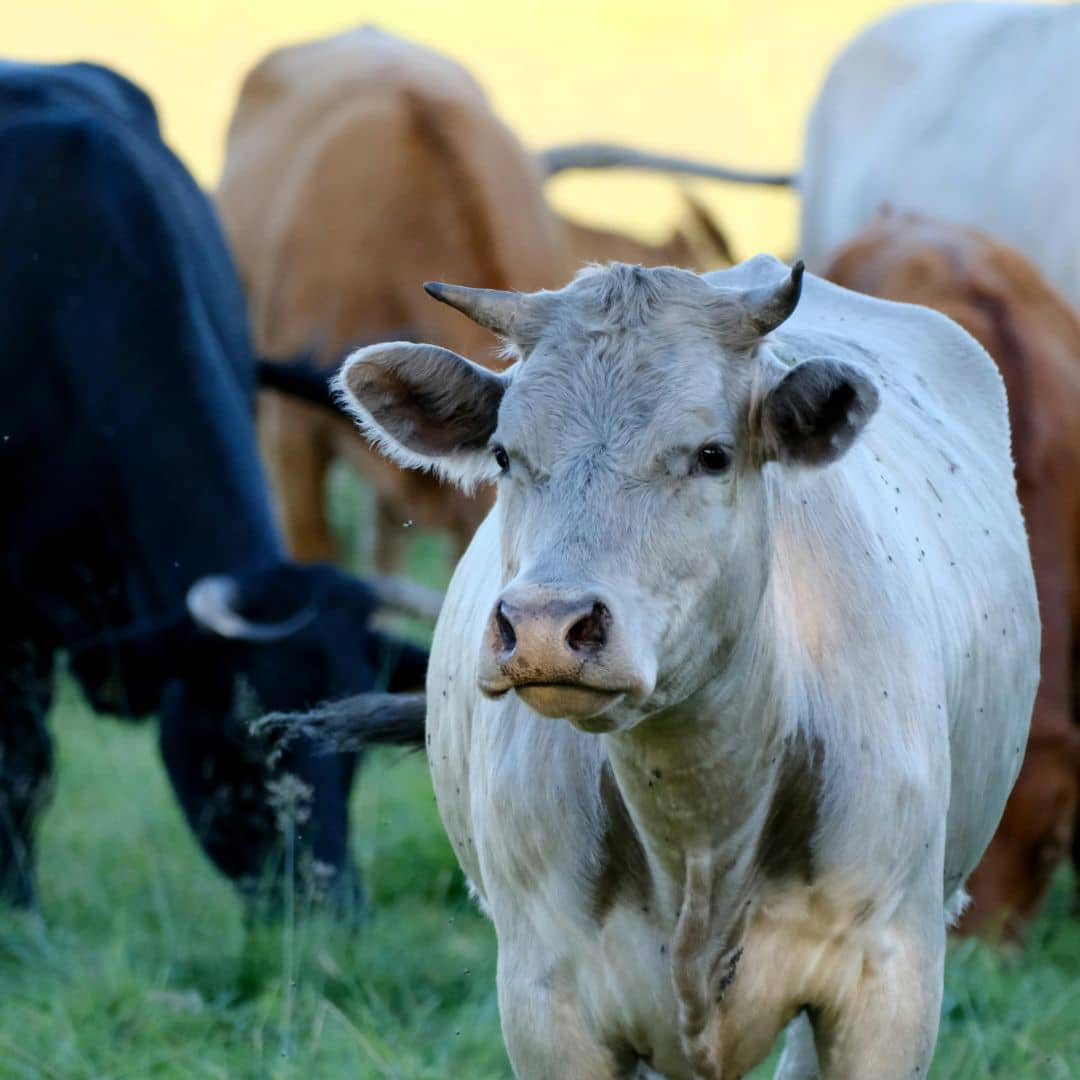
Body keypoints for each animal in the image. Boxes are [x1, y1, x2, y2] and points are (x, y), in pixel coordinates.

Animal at [331, 257, 1040, 1077]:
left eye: (711, 455)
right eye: (505, 455)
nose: (543, 626)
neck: (700, 824)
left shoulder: (888, 986)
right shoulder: (546, 997)